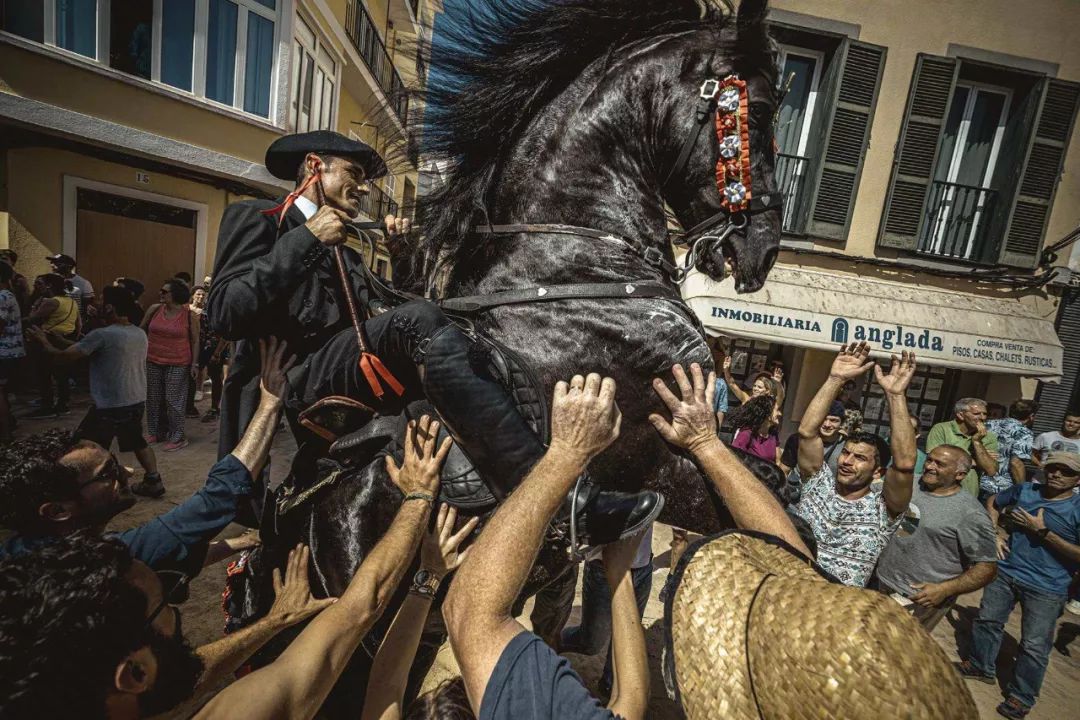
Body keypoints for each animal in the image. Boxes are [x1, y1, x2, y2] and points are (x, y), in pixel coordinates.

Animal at [232, 0, 781, 716]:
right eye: (761, 111)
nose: (763, 249)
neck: (576, 270)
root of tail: (299, 508)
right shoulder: (667, 457)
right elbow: (781, 515)